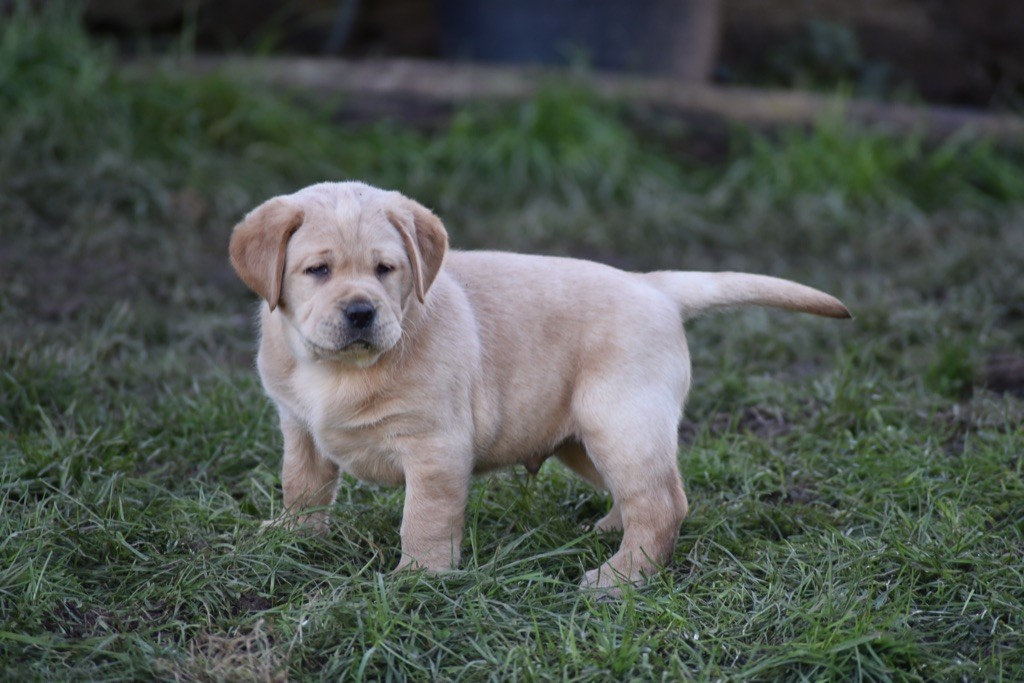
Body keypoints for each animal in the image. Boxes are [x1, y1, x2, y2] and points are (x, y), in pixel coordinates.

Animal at [230, 180, 847, 589]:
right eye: (318, 271)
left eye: (385, 270)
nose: (361, 312)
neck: (336, 368)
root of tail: (653, 285)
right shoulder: (299, 427)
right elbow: (302, 484)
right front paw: (292, 537)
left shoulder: (434, 447)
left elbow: (423, 518)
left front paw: (419, 578)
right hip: (585, 439)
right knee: (642, 494)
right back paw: (610, 530)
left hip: (620, 419)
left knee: (664, 501)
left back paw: (621, 577)